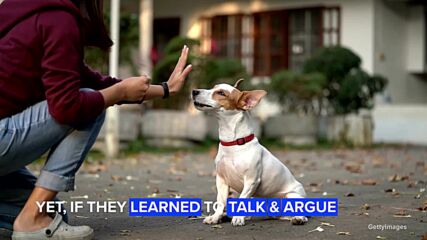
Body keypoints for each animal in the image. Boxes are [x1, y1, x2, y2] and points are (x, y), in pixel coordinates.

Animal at [191, 79, 308, 227]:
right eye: (213, 87)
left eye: (221, 93)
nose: (194, 91)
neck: (233, 144)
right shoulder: (221, 180)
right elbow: (221, 201)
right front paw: (216, 217)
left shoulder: (251, 180)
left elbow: (242, 199)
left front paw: (238, 218)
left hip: (292, 196)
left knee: (300, 212)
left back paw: (299, 218)